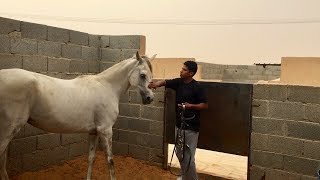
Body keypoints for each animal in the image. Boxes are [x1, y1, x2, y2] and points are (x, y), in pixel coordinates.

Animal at [0, 51, 156, 179]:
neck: (107, 86)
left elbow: (91, 158)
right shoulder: (106, 130)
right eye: (142, 75)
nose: (150, 98)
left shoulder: (94, 132)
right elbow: (110, 161)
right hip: (7, 132)